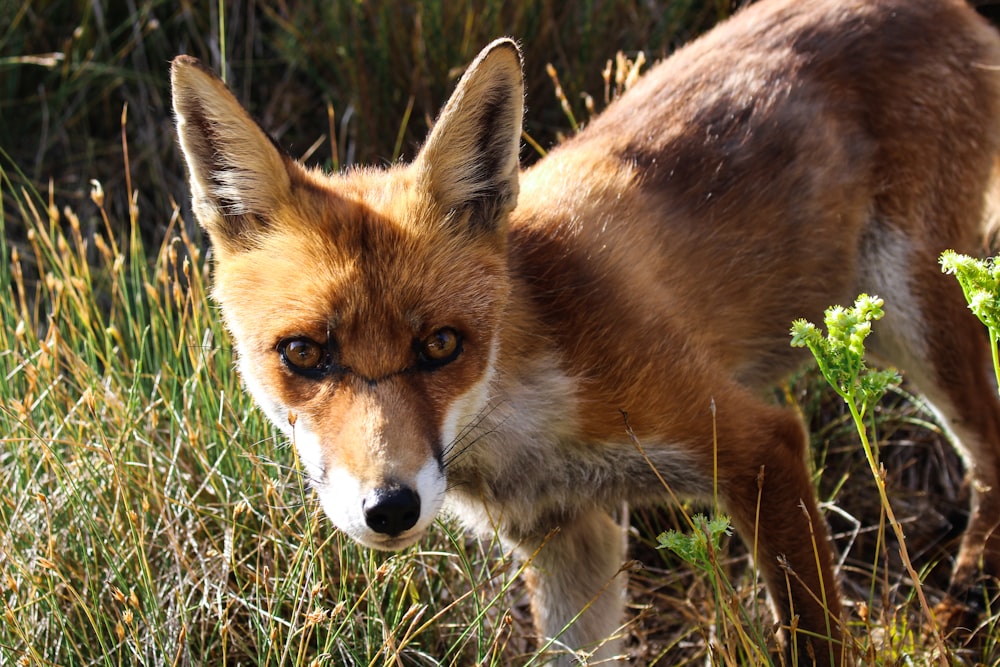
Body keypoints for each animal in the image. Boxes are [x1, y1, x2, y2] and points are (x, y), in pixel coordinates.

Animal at [172, 0, 1000, 664]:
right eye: (304, 353)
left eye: (441, 345)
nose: (391, 507)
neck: (528, 408)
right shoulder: (572, 536)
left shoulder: (756, 444)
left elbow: (813, 632)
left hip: (913, 315)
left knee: (988, 447)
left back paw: (966, 603)